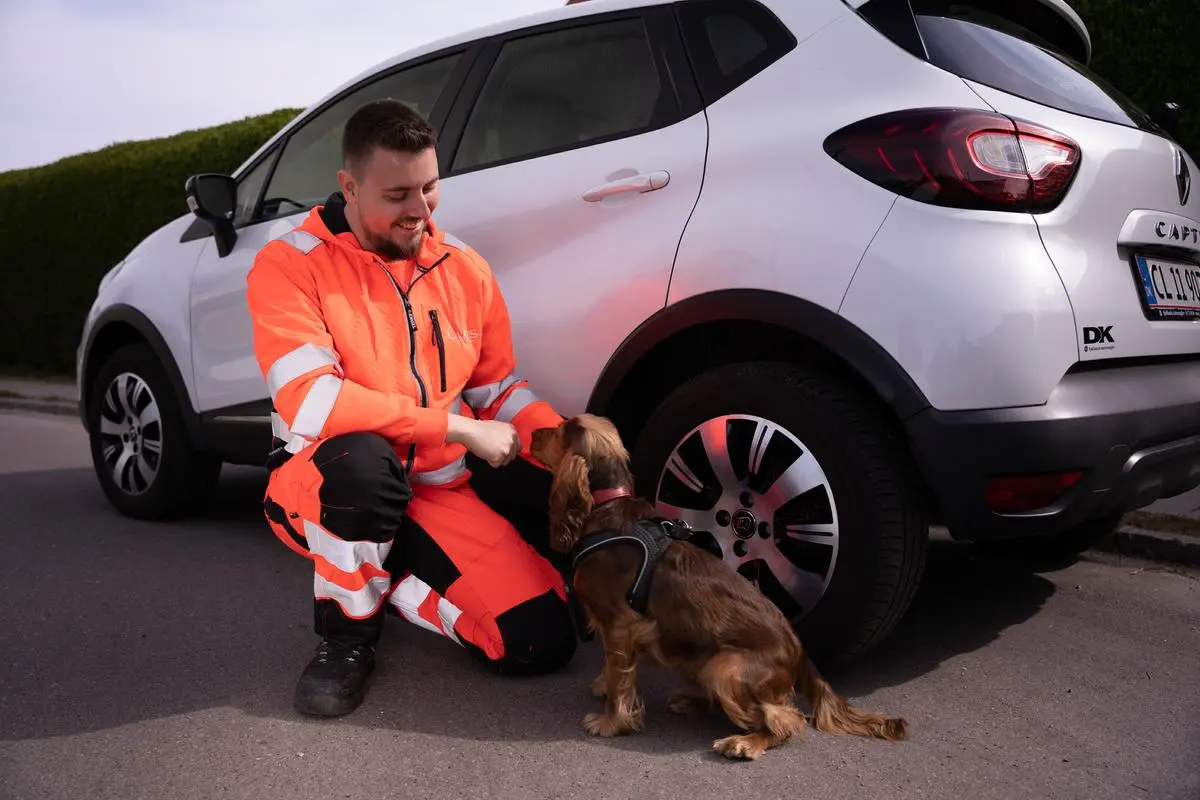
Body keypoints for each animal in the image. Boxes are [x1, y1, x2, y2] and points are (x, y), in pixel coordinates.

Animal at [530, 417, 902, 762]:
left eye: (561, 428)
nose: (532, 432)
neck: (606, 508)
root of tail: (800, 652)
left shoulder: (620, 623)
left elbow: (620, 680)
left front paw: (610, 722)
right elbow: (612, 669)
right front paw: (602, 687)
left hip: (727, 667)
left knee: (787, 719)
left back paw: (744, 743)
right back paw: (690, 702)